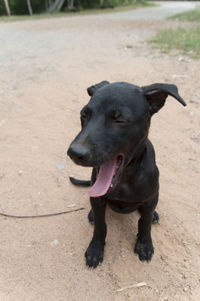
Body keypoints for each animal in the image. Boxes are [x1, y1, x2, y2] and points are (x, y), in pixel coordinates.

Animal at [67, 81, 186, 268]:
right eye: (83, 115)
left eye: (120, 120)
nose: (75, 153)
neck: (124, 181)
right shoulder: (98, 200)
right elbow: (101, 225)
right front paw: (95, 249)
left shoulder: (150, 199)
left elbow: (144, 223)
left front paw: (144, 244)